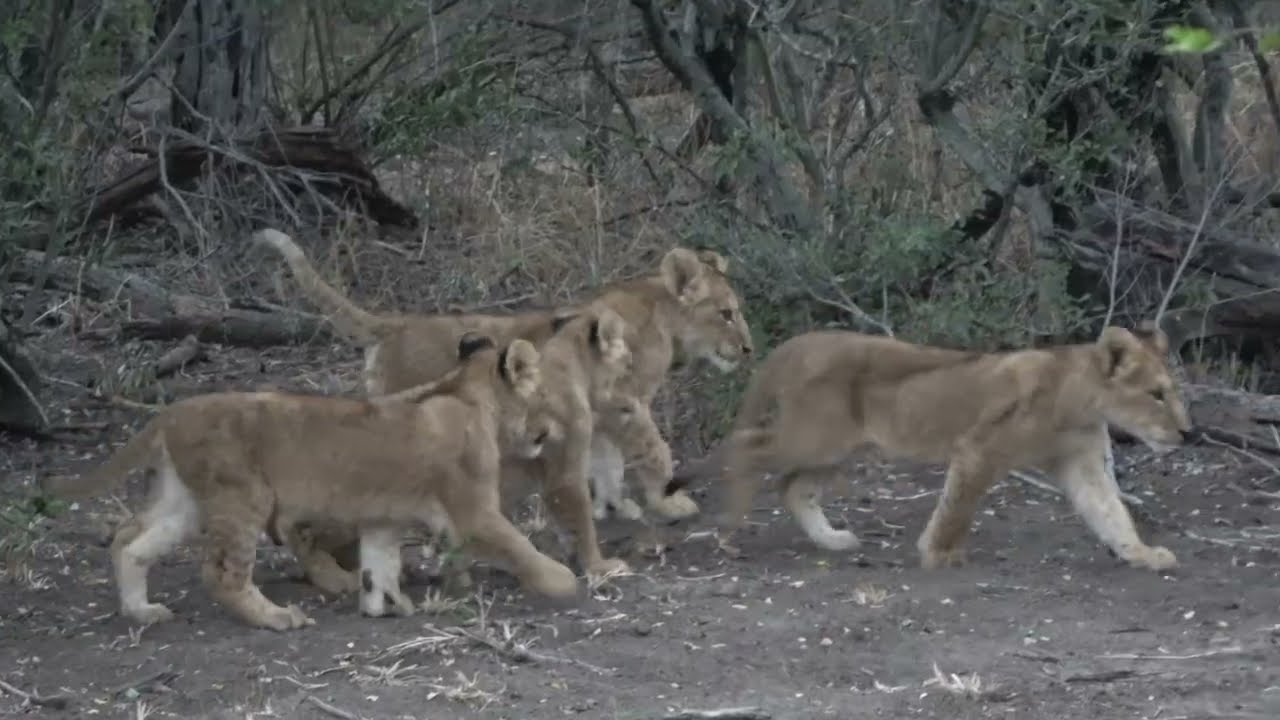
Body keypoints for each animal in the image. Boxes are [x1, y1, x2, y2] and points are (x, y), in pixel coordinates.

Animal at [40, 335, 578, 631]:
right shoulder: (474, 511)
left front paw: (386, 605)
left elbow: (379, 563)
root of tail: (172, 413)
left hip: (186, 501)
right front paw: (563, 581)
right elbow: (520, 546)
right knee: (221, 572)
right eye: (544, 396)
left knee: (130, 540)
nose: (553, 431)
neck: (468, 395)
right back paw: (276, 618)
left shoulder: (383, 516)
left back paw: (141, 610)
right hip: (244, 495)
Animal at [711, 323, 1191, 572]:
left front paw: (1143, 554)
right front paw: (937, 551)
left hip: (837, 449)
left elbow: (1112, 512)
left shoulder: (1082, 461)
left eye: (1171, 391)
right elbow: (957, 507)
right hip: (814, 436)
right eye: (1156, 394)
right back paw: (728, 531)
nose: (1189, 432)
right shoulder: (978, 448)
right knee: (746, 446)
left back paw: (832, 540)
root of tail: (801, 342)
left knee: (793, 487)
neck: (1081, 401)